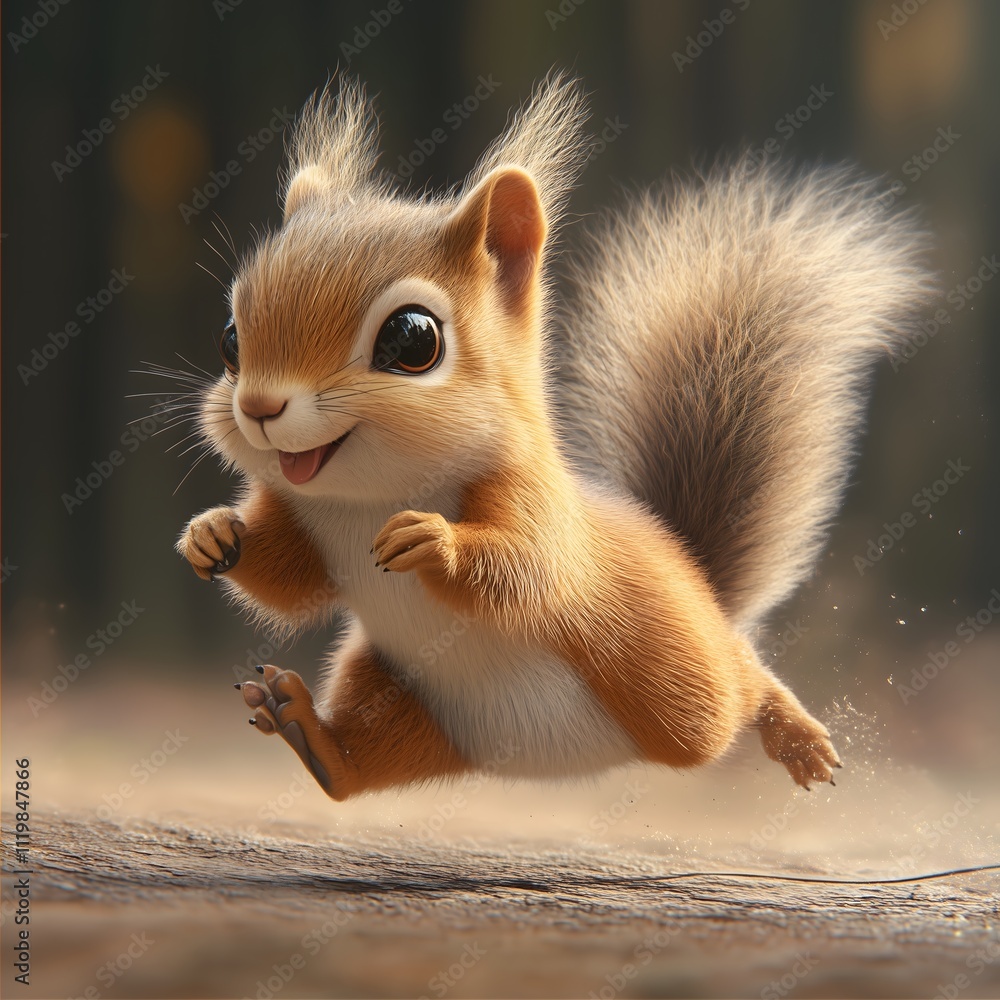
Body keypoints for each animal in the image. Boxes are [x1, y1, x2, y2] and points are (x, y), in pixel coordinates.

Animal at [176, 74, 932, 801]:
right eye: (230, 339)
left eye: (413, 340)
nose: (260, 406)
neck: (367, 496)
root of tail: (698, 581)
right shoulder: (309, 528)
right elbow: (289, 585)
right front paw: (213, 535)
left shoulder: (533, 498)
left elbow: (533, 568)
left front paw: (434, 541)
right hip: (400, 694)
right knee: (357, 770)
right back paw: (308, 734)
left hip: (678, 676)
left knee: (738, 682)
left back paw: (795, 734)